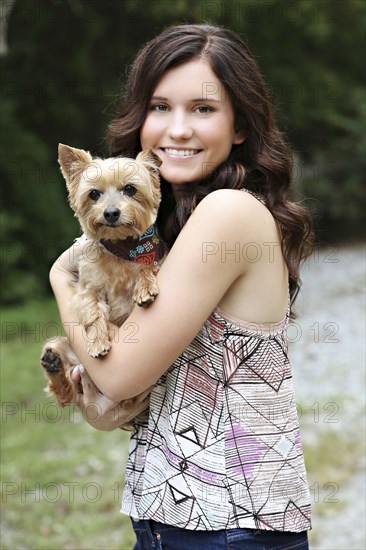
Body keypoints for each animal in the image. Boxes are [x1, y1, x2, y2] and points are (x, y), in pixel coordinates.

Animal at [40, 144, 165, 430]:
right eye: (94, 194)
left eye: (130, 189)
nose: (110, 213)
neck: (120, 247)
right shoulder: (87, 288)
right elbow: (94, 313)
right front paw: (98, 341)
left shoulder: (153, 257)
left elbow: (147, 267)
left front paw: (143, 287)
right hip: (64, 346)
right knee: (66, 393)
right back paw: (54, 366)